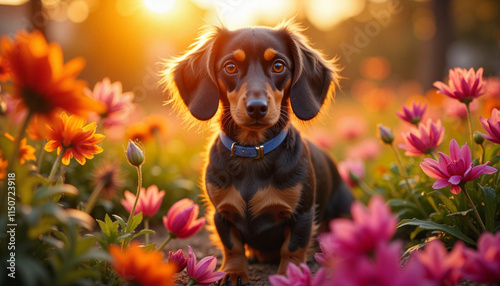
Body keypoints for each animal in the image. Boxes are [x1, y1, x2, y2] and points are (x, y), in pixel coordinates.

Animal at [162, 21, 354, 284]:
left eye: (278, 65)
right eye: (230, 67)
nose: (256, 108)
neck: (252, 152)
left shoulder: (302, 214)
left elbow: (292, 248)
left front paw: (290, 275)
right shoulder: (221, 214)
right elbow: (231, 246)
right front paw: (233, 272)